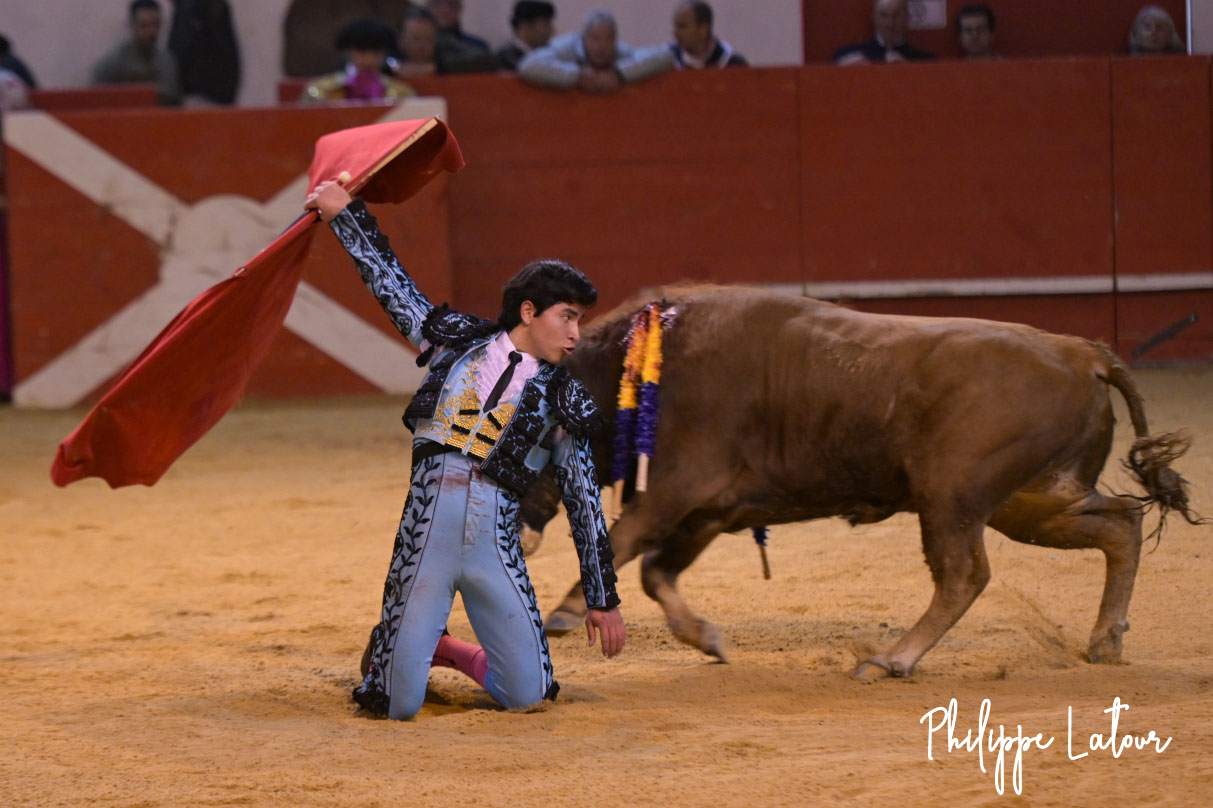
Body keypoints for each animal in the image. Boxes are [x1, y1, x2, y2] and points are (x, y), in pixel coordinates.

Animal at [519, 285, 1201, 679]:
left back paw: (892, 659)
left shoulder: (679, 487)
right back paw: (1105, 642)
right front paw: (708, 640)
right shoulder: (709, 510)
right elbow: (656, 572)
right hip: (1033, 501)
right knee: (1121, 525)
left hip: (952, 496)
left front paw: (565, 612)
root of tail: (1083, 353)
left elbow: (621, 542)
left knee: (965, 574)